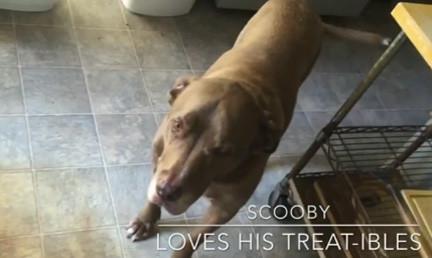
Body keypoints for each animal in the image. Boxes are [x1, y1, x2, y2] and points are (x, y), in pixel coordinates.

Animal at [125, 1, 388, 256]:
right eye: (177, 125)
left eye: (224, 151)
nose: (166, 192)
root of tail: (308, 8)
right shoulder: (158, 156)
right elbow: (153, 192)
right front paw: (146, 220)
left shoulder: (226, 208)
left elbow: (192, 240)